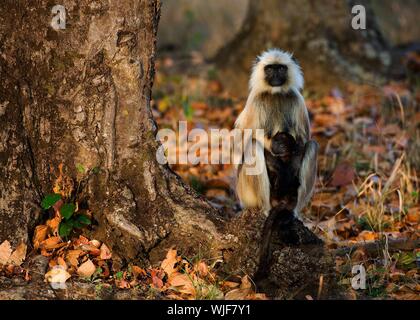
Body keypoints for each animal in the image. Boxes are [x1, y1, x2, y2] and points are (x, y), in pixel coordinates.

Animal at [236, 48, 318, 216]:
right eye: (269, 69)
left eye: (280, 68)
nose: (275, 76)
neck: (275, 93)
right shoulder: (255, 100)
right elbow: (243, 139)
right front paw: (277, 157)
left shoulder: (297, 99)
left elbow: (304, 139)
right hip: (245, 194)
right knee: (253, 146)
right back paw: (266, 209)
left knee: (312, 146)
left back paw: (293, 210)